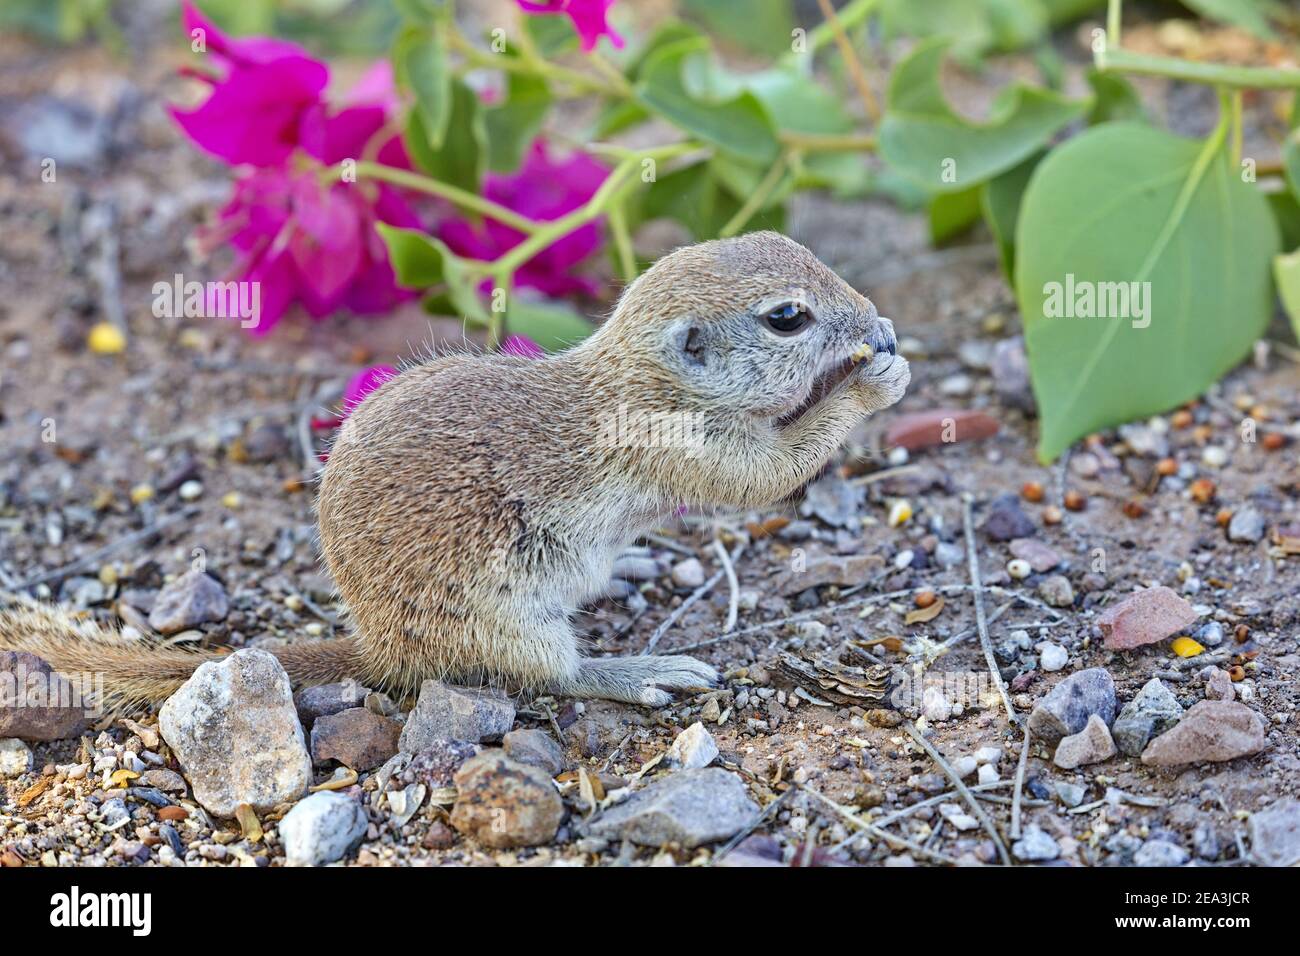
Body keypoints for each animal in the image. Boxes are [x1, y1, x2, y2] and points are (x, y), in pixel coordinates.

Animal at [0, 232, 909, 711]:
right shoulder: (682, 443)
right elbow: (769, 473)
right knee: (559, 677)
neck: (641, 378)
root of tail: (380, 652)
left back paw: (624, 569)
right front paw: (873, 383)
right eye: (787, 318)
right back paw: (638, 671)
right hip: (505, 622)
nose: (878, 324)